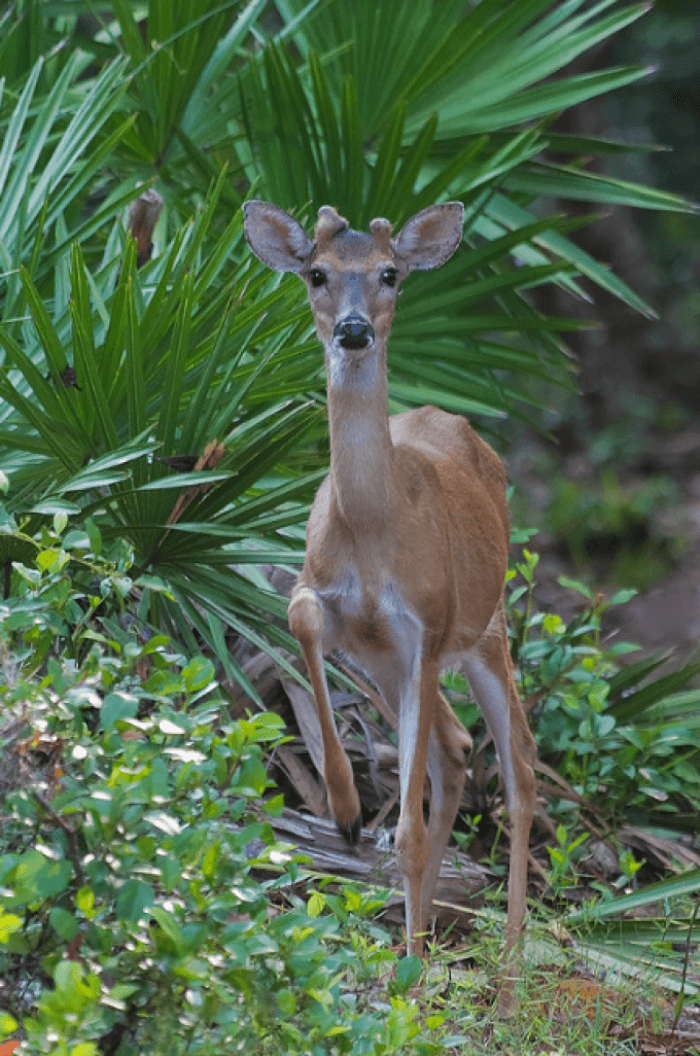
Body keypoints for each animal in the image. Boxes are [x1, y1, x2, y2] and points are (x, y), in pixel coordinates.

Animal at [243, 199, 537, 1012]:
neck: (376, 529)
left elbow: (407, 831)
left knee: (519, 768)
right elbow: (300, 618)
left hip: (485, 628)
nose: (353, 330)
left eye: (389, 274)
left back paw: (504, 979)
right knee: (455, 750)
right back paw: (423, 946)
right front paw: (343, 809)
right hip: (395, 667)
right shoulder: (340, 607)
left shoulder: (428, 628)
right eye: (316, 272)